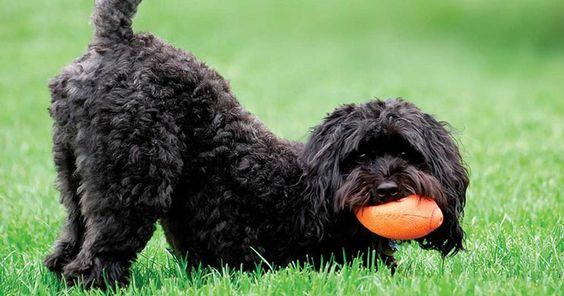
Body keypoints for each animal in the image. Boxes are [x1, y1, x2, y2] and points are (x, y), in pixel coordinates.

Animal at [44, 0, 468, 288]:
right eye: (360, 155)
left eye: (406, 153)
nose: (387, 188)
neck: (317, 188)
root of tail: (118, 41)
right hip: (134, 177)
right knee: (101, 246)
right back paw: (97, 282)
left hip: (73, 168)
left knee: (72, 234)